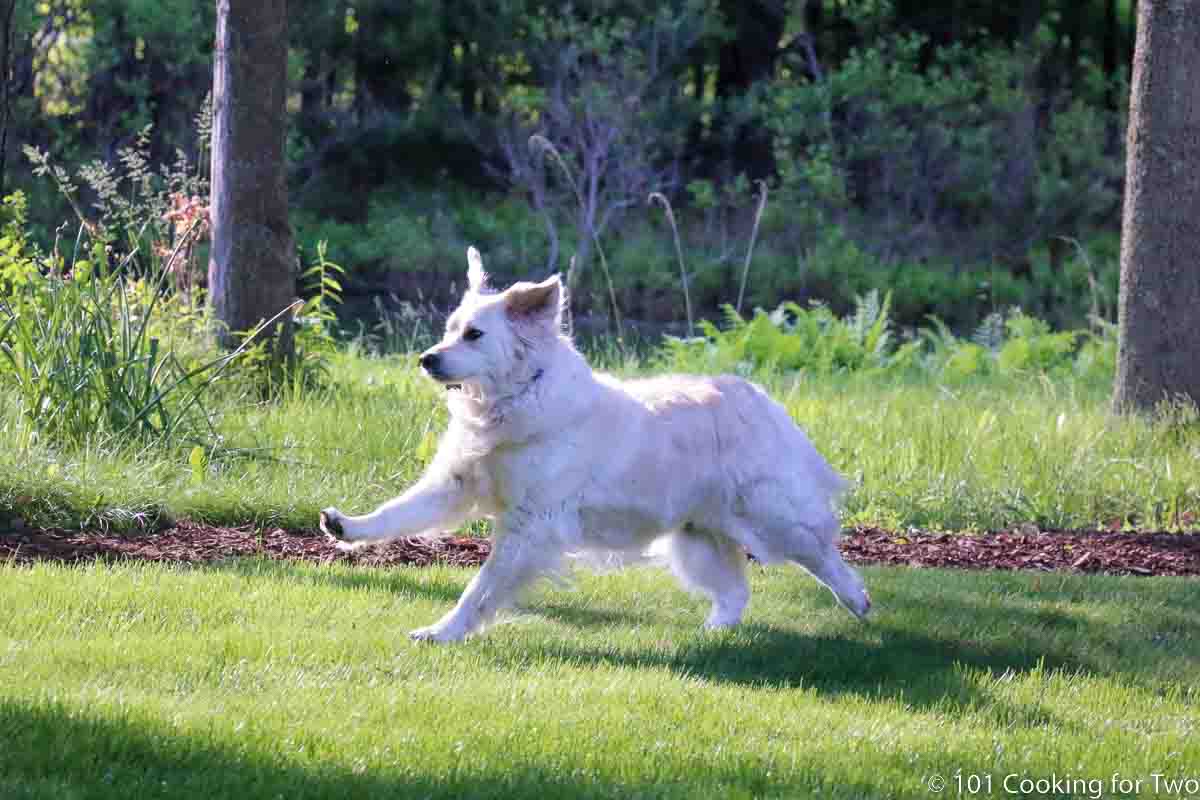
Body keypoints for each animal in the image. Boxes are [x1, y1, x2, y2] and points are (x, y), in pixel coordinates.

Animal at [319, 247, 868, 642]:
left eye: (474, 335)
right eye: (450, 330)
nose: (426, 359)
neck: (515, 399)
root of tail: (757, 396)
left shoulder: (530, 527)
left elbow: (479, 590)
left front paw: (444, 632)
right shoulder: (454, 485)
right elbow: (397, 513)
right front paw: (345, 526)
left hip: (772, 517)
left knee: (822, 553)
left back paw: (858, 600)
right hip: (696, 536)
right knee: (736, 591)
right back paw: (714, 631)